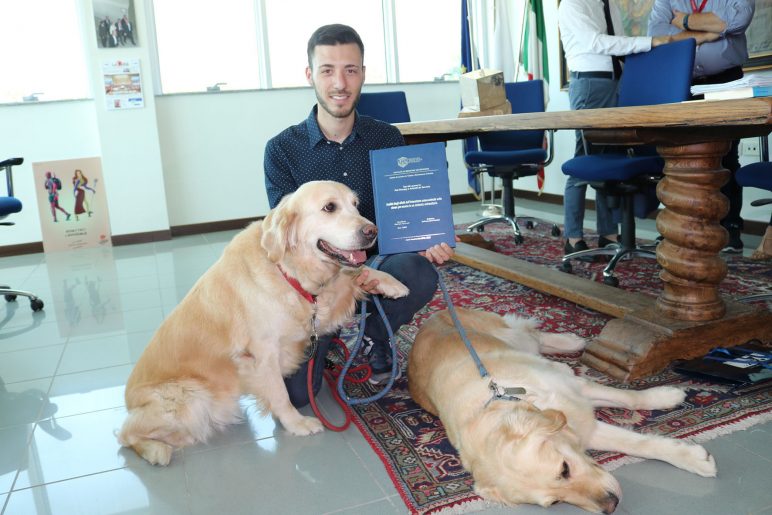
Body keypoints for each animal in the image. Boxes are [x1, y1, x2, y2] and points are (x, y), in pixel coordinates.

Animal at [118, 180, 409, 465]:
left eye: (355, 204)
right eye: (329, 207)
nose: (372, 231)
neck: (285, 268)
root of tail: (129, 401)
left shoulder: (319, 306)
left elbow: (354, 272)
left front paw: (388, 283)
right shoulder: (263, 352)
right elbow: (280, 393)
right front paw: (296, 423)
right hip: (189, 398)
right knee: (126, 434)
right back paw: (157, 450)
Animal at [408, 308, 717, 513]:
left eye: (564, 469)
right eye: (555, 501)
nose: (611, 505)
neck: (504, 399)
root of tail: (436, 315)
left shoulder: (574, 389)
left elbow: (629, 400)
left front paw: (665, 396)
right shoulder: (581, 424)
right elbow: (636, 443)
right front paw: (693, 457)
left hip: (515, 338)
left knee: (533, 333)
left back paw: (570, 341)